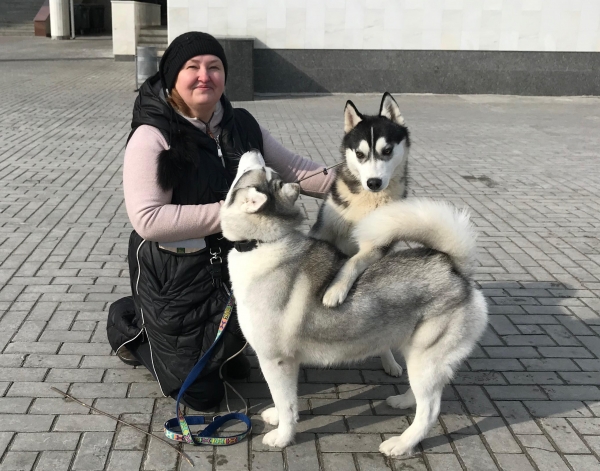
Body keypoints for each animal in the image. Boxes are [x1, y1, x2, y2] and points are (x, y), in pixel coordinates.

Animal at [220, 150, 488, 458]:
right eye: (264, 170)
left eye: (255, 170)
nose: (253, 151)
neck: (262, 243)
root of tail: (453, 266)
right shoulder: (285, 363)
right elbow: (286, 401)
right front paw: (277, 417)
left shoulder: (275, 360)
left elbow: (286, 404)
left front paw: (283, 436)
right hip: (418, 356)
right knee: (424, 397)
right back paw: (403, 401)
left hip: (426, 359)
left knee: (430, 410)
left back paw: (401, 444)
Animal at [310, 94, 412, 378]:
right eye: (360, 154)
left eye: (387, 151)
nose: (374, 182)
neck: (368, 201)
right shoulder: (323, 230)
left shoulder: (376, 246)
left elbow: (352, 262)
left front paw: (334, 291)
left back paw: (390, 362)